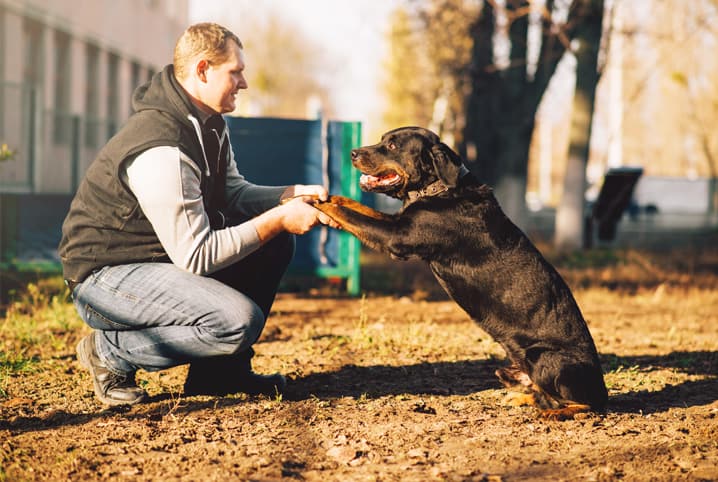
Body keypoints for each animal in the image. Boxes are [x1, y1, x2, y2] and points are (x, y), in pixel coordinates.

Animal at [314, 126, 608, 420]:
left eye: (393, 146)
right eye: (382, 140)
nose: (354, 153)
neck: (439, 189)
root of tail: (602, 390)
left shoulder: (396, 237)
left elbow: (353, 216)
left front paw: (316, 202)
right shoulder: (399, 223)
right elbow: (358, 208)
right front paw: (329, 196)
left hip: (544, 358)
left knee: (583, 405)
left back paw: (554, 413)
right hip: (508, 369)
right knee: (545, 395)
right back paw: (522, 399)